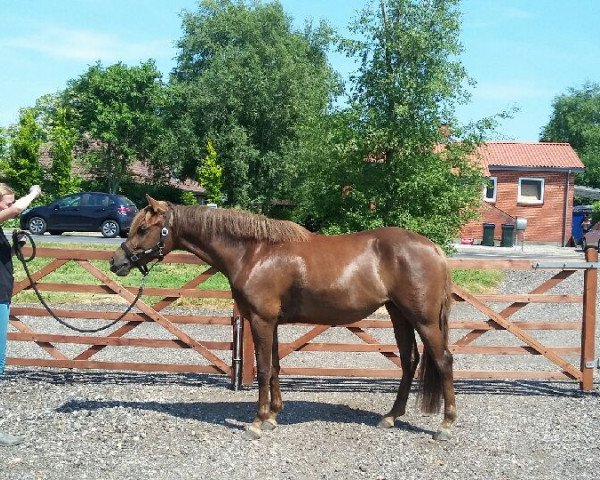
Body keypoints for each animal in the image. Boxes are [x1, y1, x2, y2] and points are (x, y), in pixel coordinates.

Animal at [109, 195, 454, 438]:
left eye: (143, 229)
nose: (116, 262)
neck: (255, 253)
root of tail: (434, 248)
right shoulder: (270, 322)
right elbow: (274, 366)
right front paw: (274, 415)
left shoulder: (261, 320)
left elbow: (263, 369)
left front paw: (257, 421)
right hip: (400, 315)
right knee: (409, 361)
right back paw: (391, 417)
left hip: (423, 319)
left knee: (443, 360)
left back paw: (446, 425)